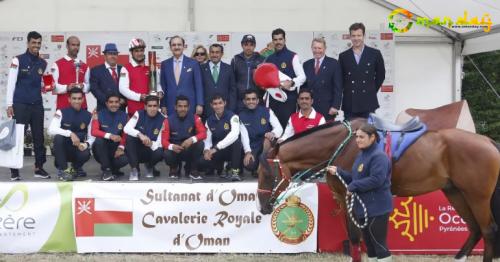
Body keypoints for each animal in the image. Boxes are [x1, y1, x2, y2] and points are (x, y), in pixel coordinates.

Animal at [258, 119, 500, 262]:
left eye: (269, 174)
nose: (262, 207)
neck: (344, 145)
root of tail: (488, 141)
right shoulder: (347, 200)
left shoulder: (351, 199)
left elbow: (355, 239)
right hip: (455, 193)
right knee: (474, 229)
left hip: (477, 196)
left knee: (488, 231)